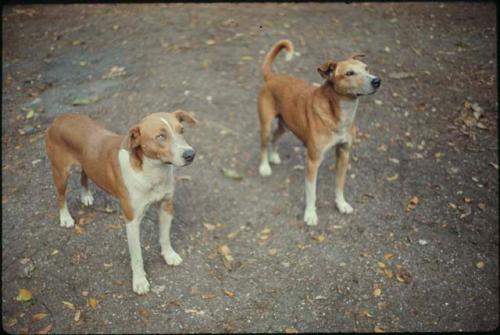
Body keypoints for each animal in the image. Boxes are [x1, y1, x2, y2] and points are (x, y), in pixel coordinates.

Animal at [44, 111, 197, 296]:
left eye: (182, 130)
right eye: (160, 137)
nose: (190, 154)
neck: (150, 173)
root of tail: (58, 119)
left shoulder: (166, 206)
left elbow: (165, 236)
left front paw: (169, 255)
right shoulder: (132, 221)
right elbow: (137, 256)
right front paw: (139, 281)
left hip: (87, 161)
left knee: (84, 173)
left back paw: (86, 195)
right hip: (61, 173)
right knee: (60, 196)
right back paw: (65, 218)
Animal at [256, 40, 380, 227]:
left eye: (367, 68)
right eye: (349, 73)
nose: (377, 81)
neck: (339, 114)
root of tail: (272, 77)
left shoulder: (343, 154)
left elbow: (339, 184)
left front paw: (341, 204)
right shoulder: (313, 162)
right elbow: (311, 192)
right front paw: (310, 214)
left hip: (285, 125)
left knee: (275, 138)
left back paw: (274, 156)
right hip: (266, 124)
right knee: (264, 143)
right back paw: (265, 166)